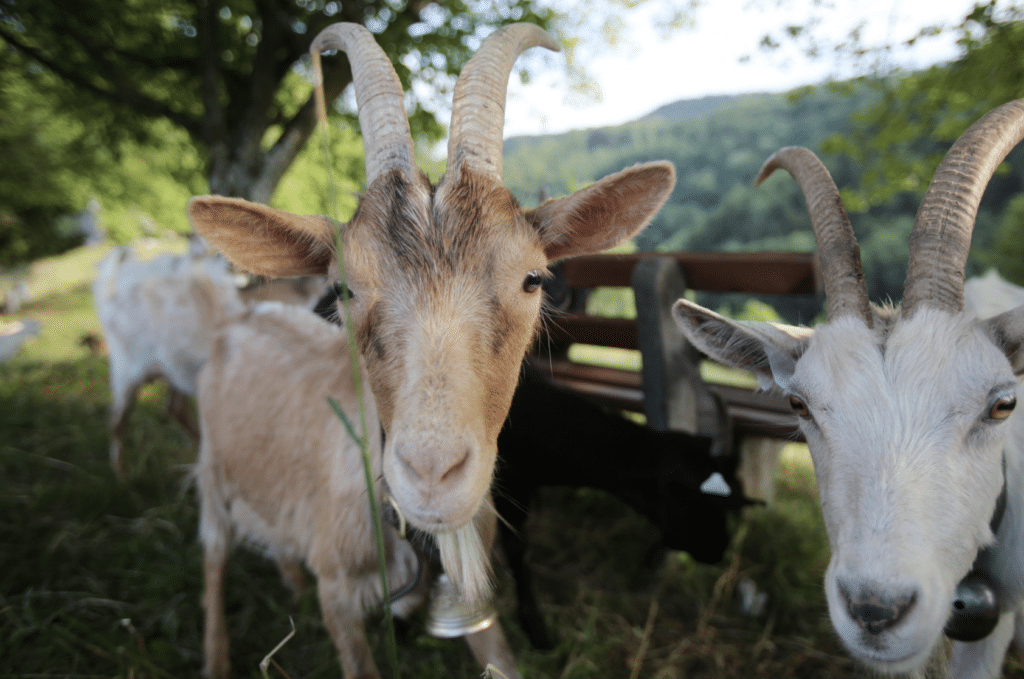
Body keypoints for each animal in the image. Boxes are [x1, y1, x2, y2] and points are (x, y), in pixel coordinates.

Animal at [196, 301, 520, 679]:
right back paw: (216, 661)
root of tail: (244, 313)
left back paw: (295, 588)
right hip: (213, 476)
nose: (435, 470)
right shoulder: (336, 586)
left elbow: (501, 660)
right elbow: (358, 665)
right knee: (214, 557)